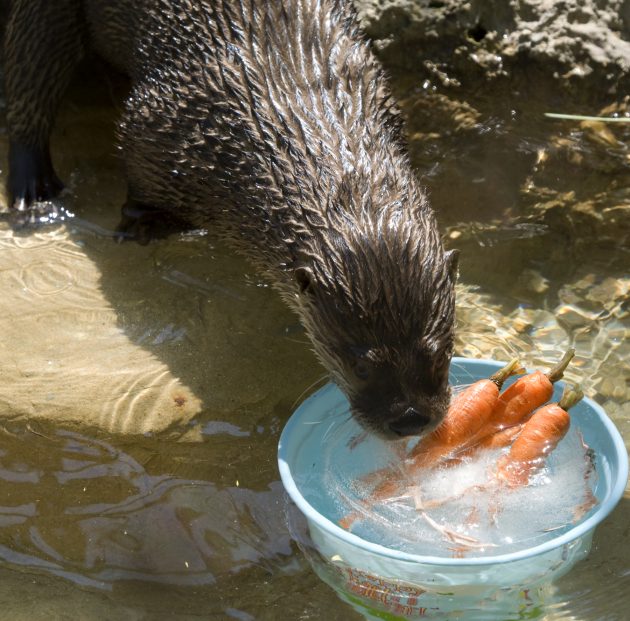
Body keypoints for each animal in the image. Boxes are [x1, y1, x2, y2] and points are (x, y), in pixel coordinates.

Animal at [3, 0, 460, 436]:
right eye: (361, 366)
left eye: (442, 351)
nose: (410, 420)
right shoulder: (157, 122)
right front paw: (142, 224)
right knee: (29, 75)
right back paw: (33, 192)